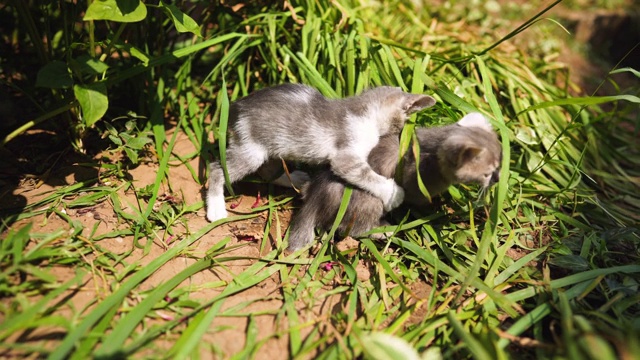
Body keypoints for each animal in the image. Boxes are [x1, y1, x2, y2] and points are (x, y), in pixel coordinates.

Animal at [208, 83, 438, 222]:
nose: (401, 134)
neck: (365, 111)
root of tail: (236, 106)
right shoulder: (346, 158)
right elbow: (367, 175)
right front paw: (392, 193)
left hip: (268, 146)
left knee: (268, 171)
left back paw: (296, 178)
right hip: (251, 150)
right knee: (216, 169)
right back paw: (216, 209)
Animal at [288, 112, 502, 250]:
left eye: (500, 162)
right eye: (487, 172)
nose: (499, 179)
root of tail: (315, 199)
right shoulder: (416, 189)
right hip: (370, 202)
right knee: (352, 230)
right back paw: (384, 231)